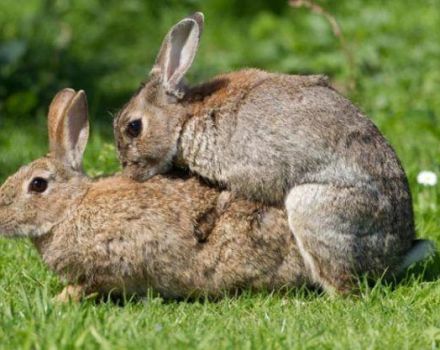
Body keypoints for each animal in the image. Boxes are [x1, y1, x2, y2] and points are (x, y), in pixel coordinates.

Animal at [112, 12, 420, 292]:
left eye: (134, 127)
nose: (129, 172)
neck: (185, 118)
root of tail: (396, 255)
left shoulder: (249, 171)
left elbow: (233, 194)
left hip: (315, 209)